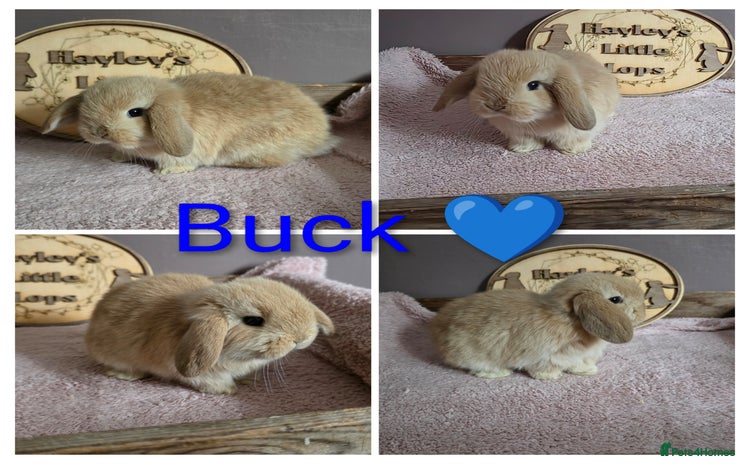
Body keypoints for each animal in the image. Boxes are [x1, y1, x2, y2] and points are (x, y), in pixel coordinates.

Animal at [42, 72, 337, 174]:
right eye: (85, 108)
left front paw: (164, 174)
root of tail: (323, 134)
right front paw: (116, 157)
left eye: (135, 111)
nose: (100, 132)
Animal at [85, 274, 335, 394]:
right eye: (253, 320)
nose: (301, 338)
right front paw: (229, 391)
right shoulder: (203, 375)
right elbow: (210, 382)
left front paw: (246, 380)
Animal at [429, 273, 645, 380]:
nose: (642, 312)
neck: (570, 320)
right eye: (615, 299)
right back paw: (499, 373)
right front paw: (550, 377)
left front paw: (588, 371)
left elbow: (578, 364)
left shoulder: (578, 356)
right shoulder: (547, 356)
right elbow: (544, 368)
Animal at [433, 49, 620, 154]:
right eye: (479, 81)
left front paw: (572, 151)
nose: (495, 105)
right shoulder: (519, 134)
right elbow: (526, 142)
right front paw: (521, 150)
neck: (537, 121)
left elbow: (572, 140)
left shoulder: (574, 133)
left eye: (533, 85)